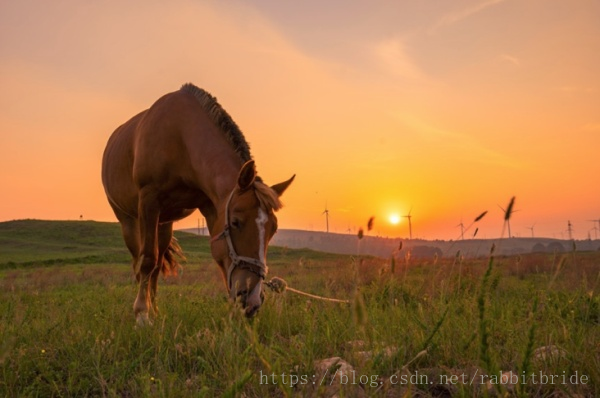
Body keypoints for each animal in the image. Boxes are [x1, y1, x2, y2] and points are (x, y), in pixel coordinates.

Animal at [102, 83, 296, 324]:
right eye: (236, 222)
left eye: (273, 229)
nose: (252, 299)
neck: (180, 137)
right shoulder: (148, 201)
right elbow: (147, 260)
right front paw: (141, 314)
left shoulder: (212, 207)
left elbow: (220, 261)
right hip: (129, 221)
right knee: (140, 262)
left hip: (164, 224)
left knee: (157, 264)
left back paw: (155, 309)